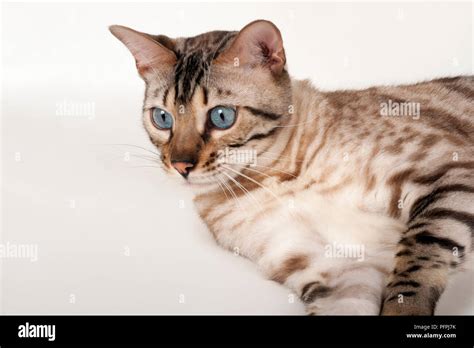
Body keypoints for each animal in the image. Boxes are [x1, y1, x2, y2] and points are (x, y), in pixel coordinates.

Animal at [109, 20, 472, 316]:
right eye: (162, 118)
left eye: (222, 116)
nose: (180, 165)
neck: (278, 180)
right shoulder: (334, 268)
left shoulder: (448, 171)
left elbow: (414, 268)